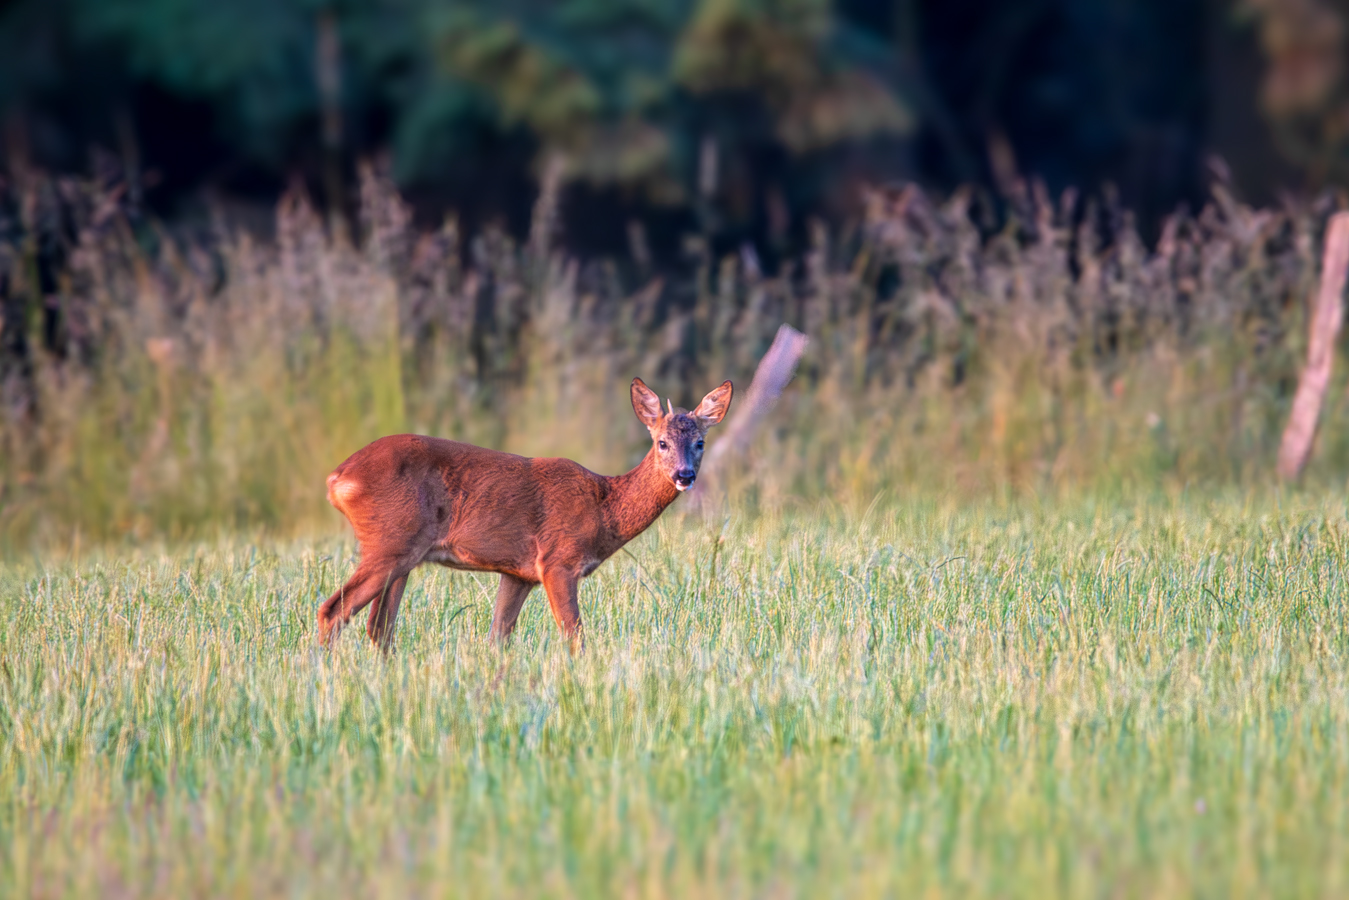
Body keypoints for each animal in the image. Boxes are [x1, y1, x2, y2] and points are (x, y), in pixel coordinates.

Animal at [317, 377, 733, 650]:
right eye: (662, 442)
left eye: (700, 442)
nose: (684, 475)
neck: (604, 508)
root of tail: (338, 477)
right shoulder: (558, 560)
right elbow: (575, 637)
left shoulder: (518, 573)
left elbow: (497, 638)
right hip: (390, 542)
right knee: (334, 610)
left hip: (402, 555)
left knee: (378, 627)